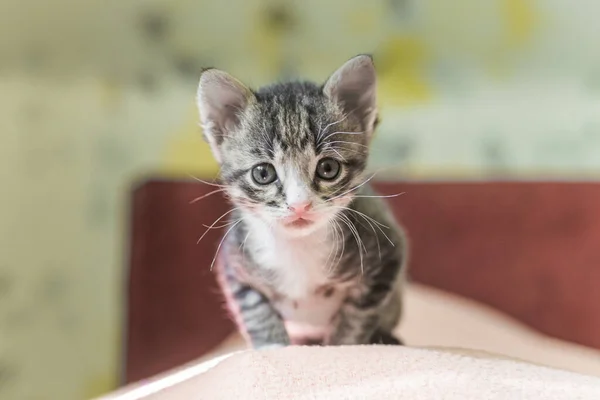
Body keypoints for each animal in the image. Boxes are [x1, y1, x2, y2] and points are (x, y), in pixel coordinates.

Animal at [197, 54, 408, 348]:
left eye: (328, 168)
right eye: (263, 174)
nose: (300, 205)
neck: (297, 249)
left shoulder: (386, 256)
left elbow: (356, 317)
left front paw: (342, 344)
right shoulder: (233, 267)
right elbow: (256, 311)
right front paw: (273, 346)